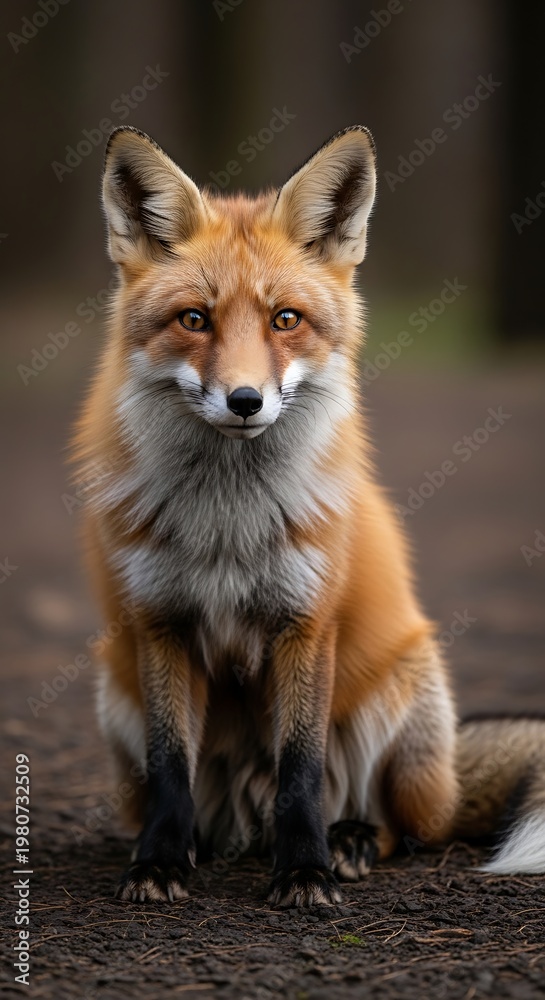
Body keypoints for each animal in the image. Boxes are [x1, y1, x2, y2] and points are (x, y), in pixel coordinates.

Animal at [74, 124, 545, 906]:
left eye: (284, 320)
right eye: (194, 320)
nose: (244, 401)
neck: (227, 525)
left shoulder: (306, 621)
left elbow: (301, 768)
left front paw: (303, 872)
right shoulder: (159, 623)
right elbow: (171, 766)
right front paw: (160, 862)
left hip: (401, 697)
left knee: (403, 827)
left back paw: (347, 841)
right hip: (116, 695)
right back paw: (204, 846)